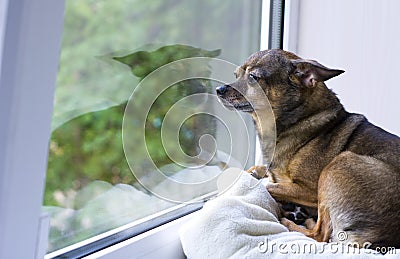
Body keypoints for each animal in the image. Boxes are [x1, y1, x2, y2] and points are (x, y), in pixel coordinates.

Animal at [217, 48, 400, 250]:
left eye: (253, 77)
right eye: (236, 75)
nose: (219, 90)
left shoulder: (310, 191)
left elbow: (268, 186)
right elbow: (263, 172)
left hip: (339, 164)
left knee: (320, 234)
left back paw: (291, 219)